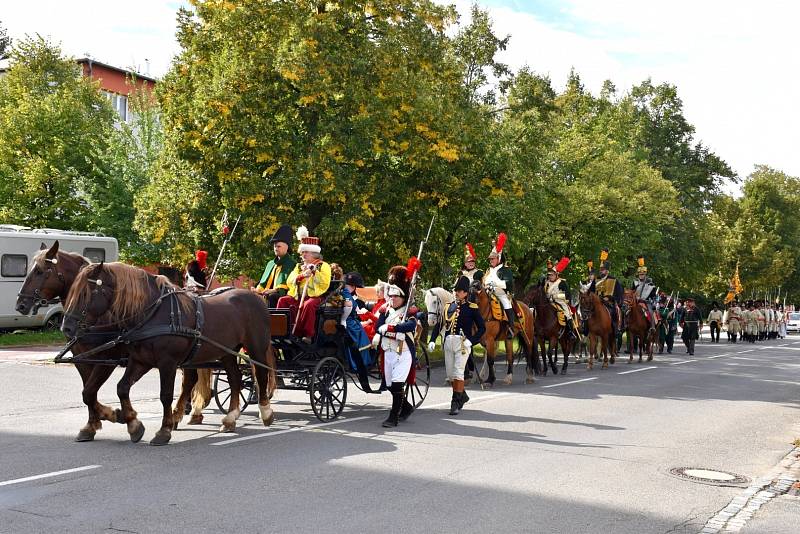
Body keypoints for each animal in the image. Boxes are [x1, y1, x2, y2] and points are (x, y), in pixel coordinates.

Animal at [61, 262, 278, 446]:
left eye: (86, 293)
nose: (66, 327)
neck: (152, 314)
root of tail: (255, 296)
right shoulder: (140, 360)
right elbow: (119, 388)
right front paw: (132, 424)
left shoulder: (167, 363)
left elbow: (165, 395)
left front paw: (163, 431)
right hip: (226, 351)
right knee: (234, 378)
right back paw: (230, 418)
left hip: (256, 347)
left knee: (260, 374)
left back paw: (266, 412)